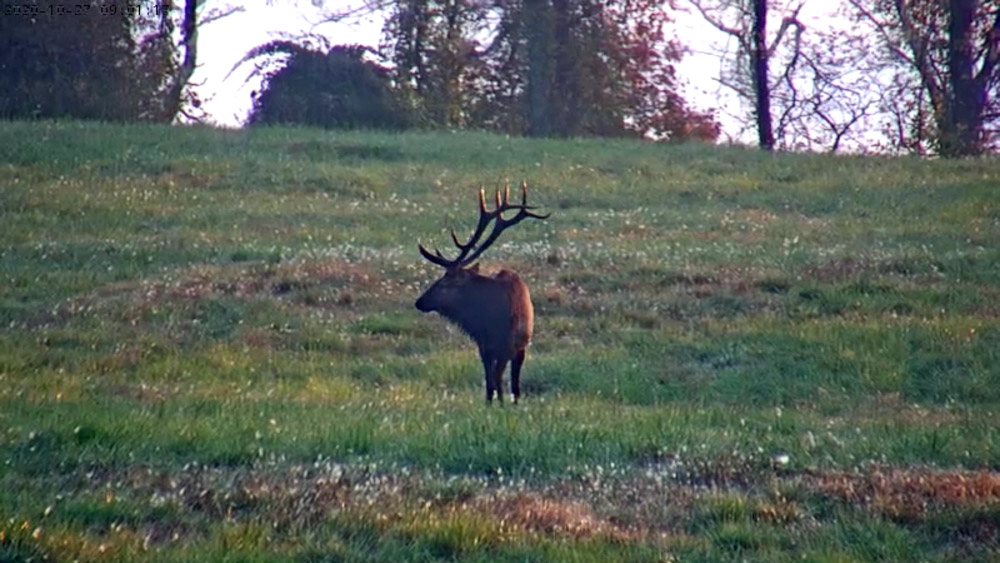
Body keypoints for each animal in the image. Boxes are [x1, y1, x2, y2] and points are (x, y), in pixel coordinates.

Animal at [415, 181, 550, 405]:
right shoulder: (489, 344)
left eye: (445, 283)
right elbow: (493, 381)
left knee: (504, 378)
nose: (419, 302)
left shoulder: (505, 345)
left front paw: (503, 404)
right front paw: (494, 404)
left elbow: (503, 381)